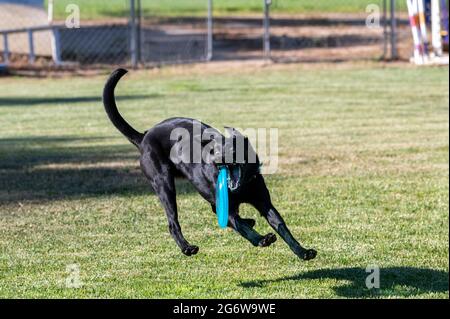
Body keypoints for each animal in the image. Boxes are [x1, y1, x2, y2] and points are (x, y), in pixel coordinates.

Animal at [103, 69, 316, 262]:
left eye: (231, 149)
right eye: (213, 150)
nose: (215, 160)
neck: (242, 187)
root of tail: (144, 136)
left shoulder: (264, 203)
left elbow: (281, 226)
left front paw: (303, 251)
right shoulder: (226, 208)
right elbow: (241, 226)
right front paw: (262, 239)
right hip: (164, 185)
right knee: (173, 223)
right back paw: (187, 248)